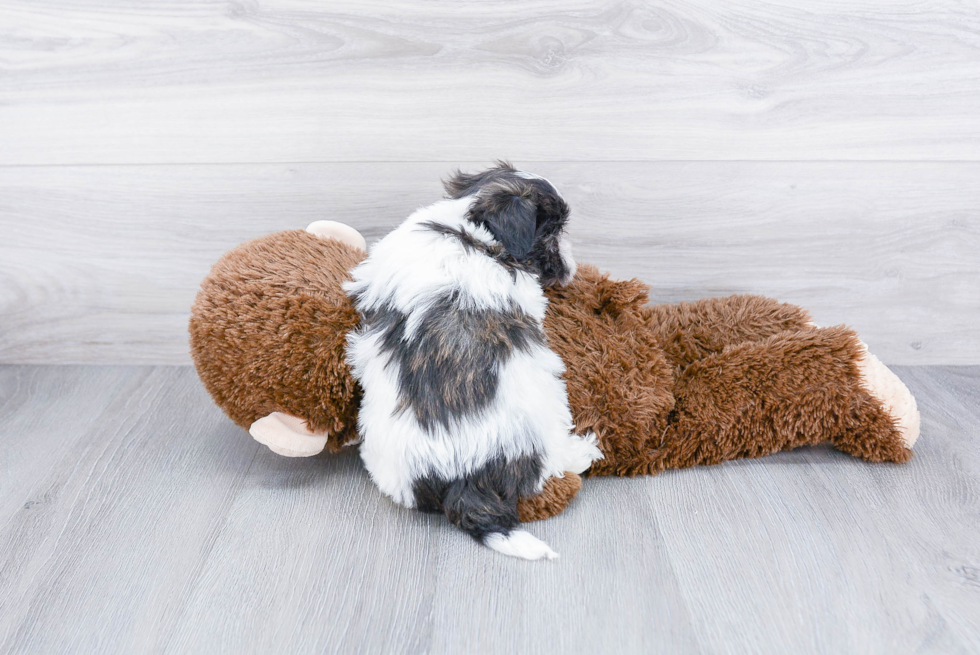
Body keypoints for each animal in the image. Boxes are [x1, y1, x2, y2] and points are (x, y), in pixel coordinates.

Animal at [344, 163, 604, 560]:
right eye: (552, 233)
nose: (570, 264)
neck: (467, 231)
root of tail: (465, 473)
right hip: (547, 404)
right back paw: (583, 451)